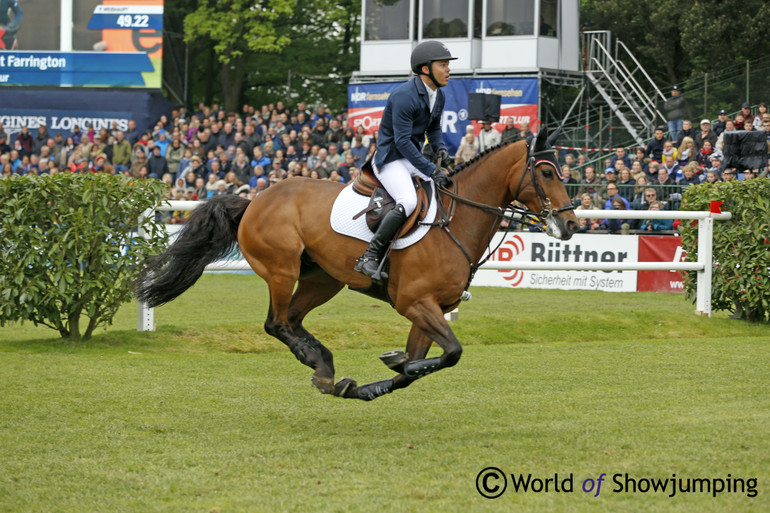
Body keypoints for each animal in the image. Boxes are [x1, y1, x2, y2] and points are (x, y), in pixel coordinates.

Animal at [135, 128, 576, 400]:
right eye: (546, 172)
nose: (571, 224)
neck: (456, 219)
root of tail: (254, 199)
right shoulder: (415, 303)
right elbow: (448, 354)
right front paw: (392, 366)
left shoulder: (428, 311)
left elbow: (414, 367)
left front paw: (373, 384)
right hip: (282, 269)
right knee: (276, 323)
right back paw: (320, 364)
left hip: (321, 279)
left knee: (292, 321)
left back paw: (325, 369)